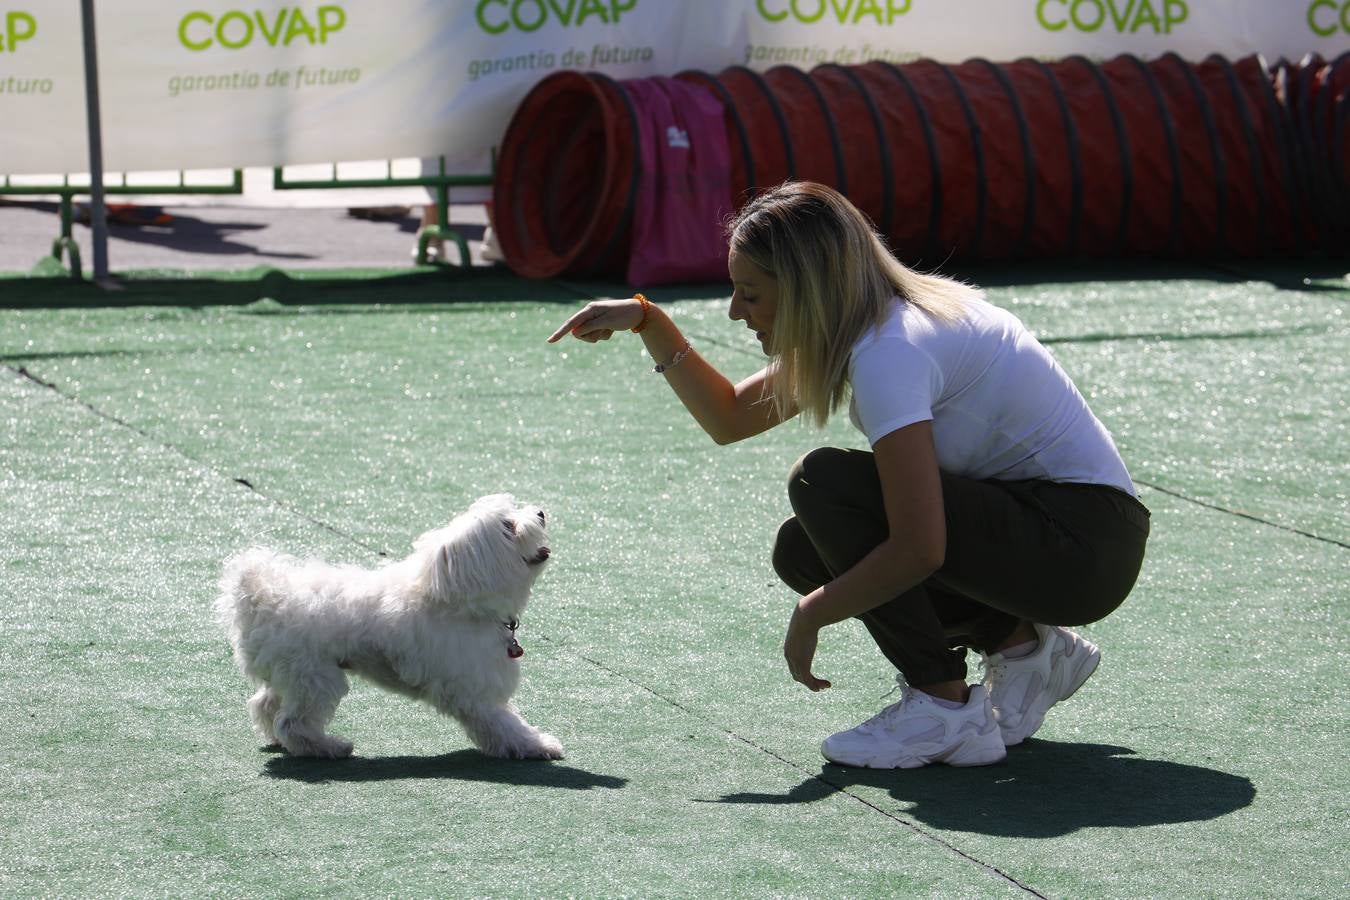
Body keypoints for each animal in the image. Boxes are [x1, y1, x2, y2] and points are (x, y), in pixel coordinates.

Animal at [213, 496, 561, 766]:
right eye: (509, 527)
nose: (541, 513)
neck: (455, 597)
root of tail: (263, 597)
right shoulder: (474, 691)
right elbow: (505, 724)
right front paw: (536, 745)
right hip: (316, 678)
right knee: (292, 723)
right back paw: (329, 747)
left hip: (288, 675)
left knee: (265, 706)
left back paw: (278, 739)